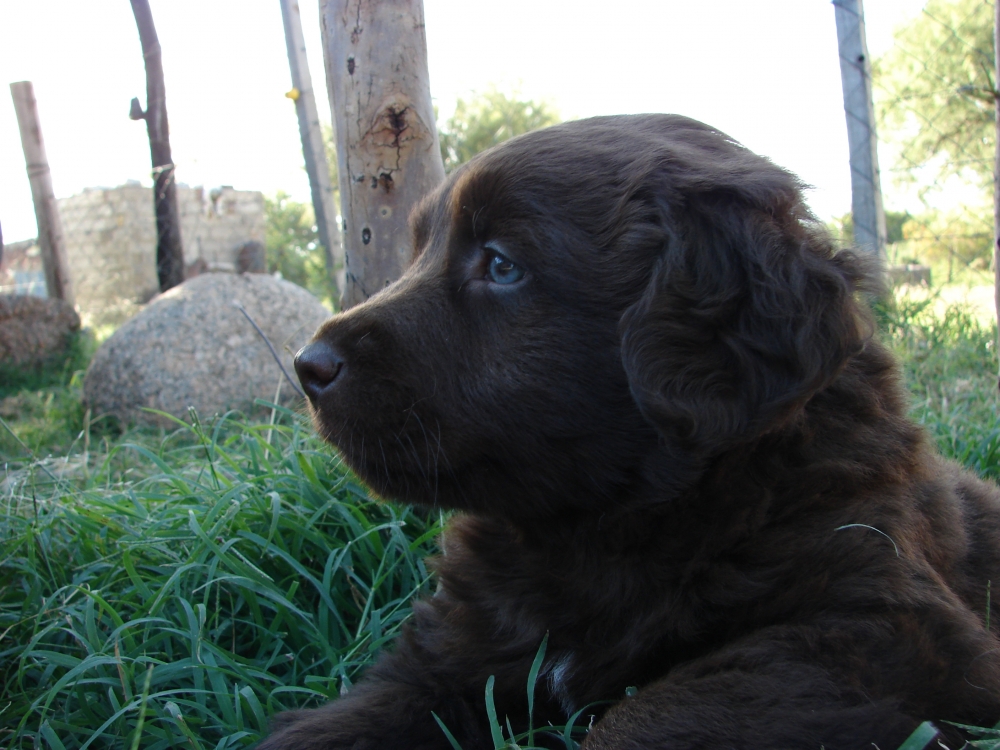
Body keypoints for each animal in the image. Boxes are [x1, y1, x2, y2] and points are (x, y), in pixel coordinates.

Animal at [268, 116, 1000, 750]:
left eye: (502, 266)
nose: (307, 366)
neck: (597, 532)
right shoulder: (454, 644)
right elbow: (355, 713)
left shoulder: (887, 628)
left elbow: (651, 717)